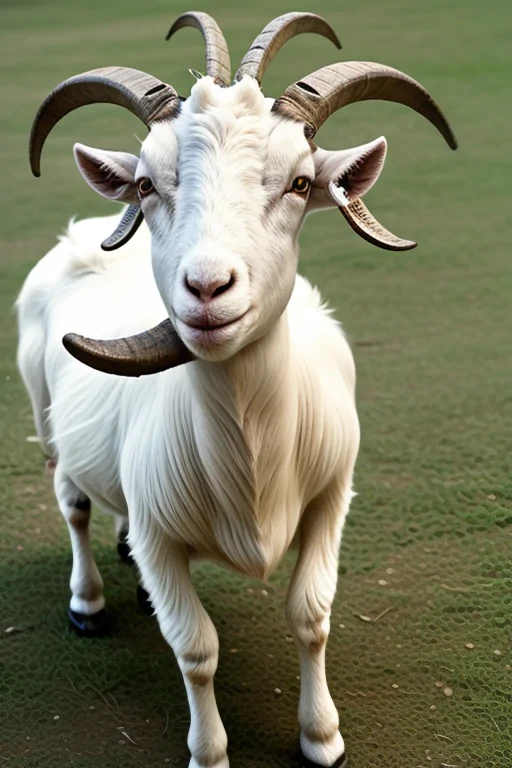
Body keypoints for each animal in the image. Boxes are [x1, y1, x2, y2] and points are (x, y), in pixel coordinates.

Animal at [17, 13, 456, 768]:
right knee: (72, 504)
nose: (207, 288)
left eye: (302, 182)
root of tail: (80, 234)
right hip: (45, 415)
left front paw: (323, 738)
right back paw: (88, 604)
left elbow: (311, 616)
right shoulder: (165, 535)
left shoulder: (331, 498)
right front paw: (210, 752)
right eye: (146, 185)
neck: (253, 465)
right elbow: (195, 649)